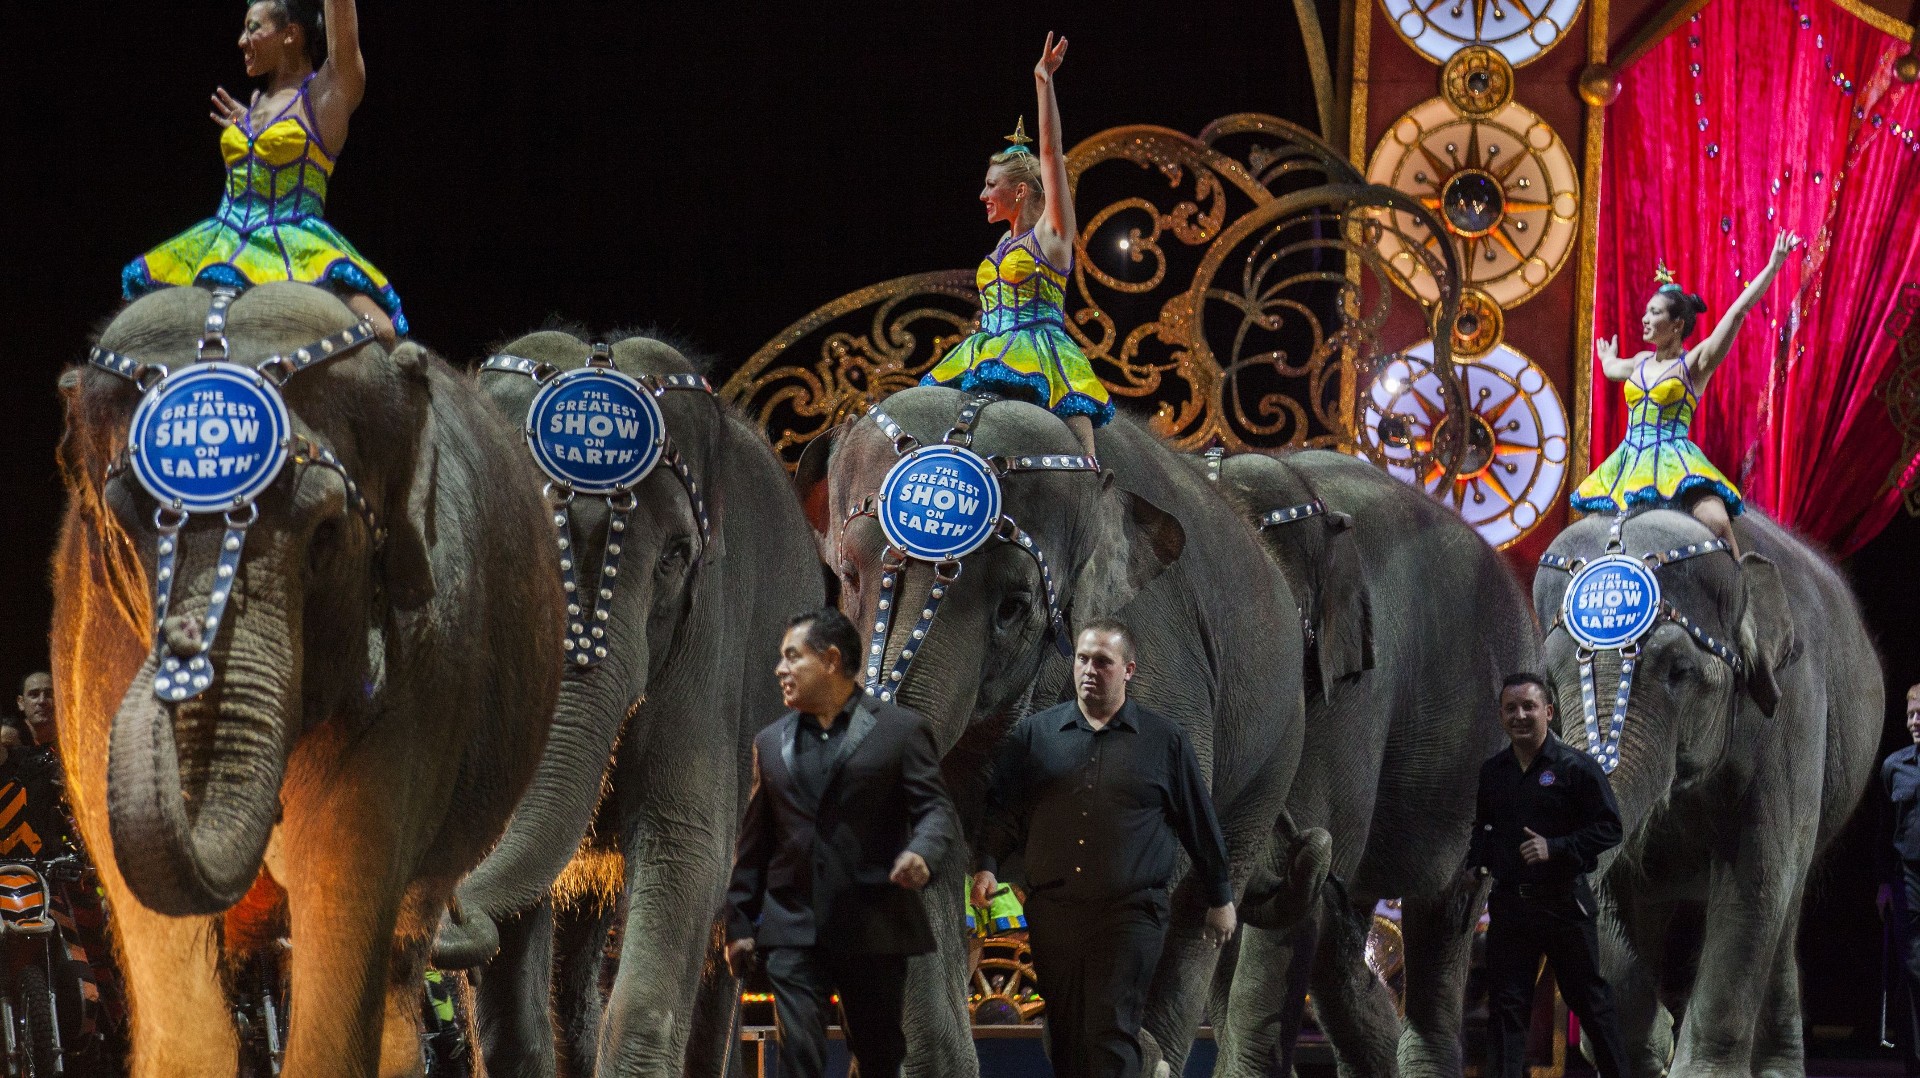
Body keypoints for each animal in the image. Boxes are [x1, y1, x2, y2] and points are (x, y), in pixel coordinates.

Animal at [46, 282, 560, 1068]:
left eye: (324, 533)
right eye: (129, 527)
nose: (183, 636)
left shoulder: (424, 662)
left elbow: (343, 889)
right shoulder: (89, 652)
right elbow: (164, 956)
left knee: (401, 964)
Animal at [798, 386, 1320, 1076]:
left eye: (1013, 607)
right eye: (851, 577)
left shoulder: (1159, 670)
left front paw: (1122, 1044)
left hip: (1277, 745)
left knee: (1209, 892)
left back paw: (1152, 1049)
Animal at [1536, 507, 1881, 1068]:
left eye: (1679, 672)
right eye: (1548, 680)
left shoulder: (1790, 717)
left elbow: (1757, 877)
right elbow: (1605, 886)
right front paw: (1651, 1045)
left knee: (1783, 908)